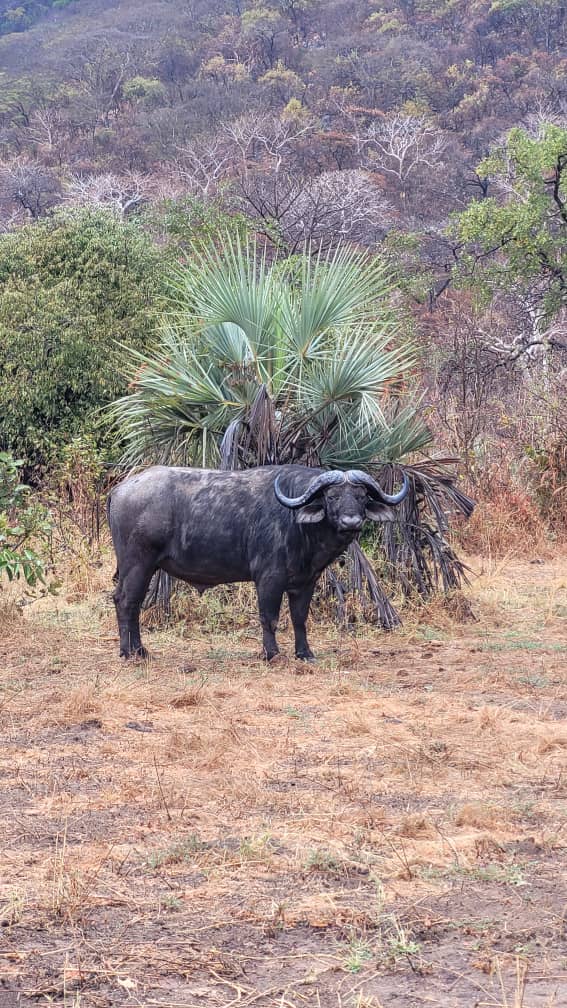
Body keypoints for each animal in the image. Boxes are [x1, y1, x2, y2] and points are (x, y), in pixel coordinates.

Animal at [107, 464, 409, 661]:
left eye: (361, 496)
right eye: (331, 496)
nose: (351, 522)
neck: (296, 523)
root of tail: (120, 488)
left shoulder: (306, 582)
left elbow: (299, 618)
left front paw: (305, 653)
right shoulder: (268, 579)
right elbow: (270, 617)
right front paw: (271, 653)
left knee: (131, 602)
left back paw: (139, 650)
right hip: (138, 564)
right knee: (125, 601)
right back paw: (130, 652)